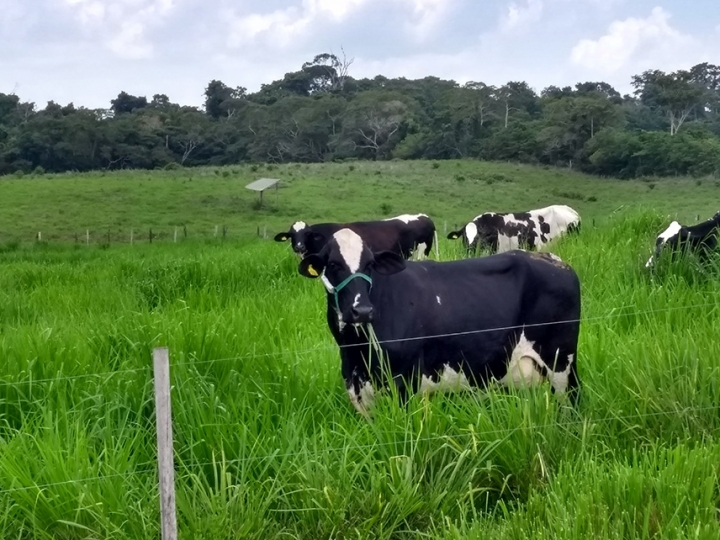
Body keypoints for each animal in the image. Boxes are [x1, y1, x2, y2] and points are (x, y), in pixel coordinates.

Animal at [297, 228, 582, 417]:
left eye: (369, 264)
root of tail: (555, 260)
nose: (363, 310)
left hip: (560, 362)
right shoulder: (356, 389)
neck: (358, 350)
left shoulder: (404, 382)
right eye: (333, 264)